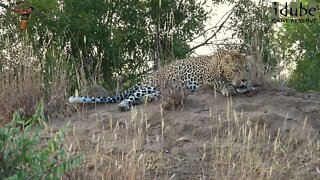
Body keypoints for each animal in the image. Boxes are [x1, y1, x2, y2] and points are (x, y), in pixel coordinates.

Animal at [69, 49, 254, 111]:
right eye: (236, 70)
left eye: (247, 69)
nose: (244, 80)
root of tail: (148, 76)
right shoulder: (207, 79)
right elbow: (220, 81)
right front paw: (229, 88)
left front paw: (249, 86)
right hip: (151, 86)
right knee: (131, 96)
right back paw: (123, 105)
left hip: (158, 90)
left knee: (144, 97)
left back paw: (147, 100)